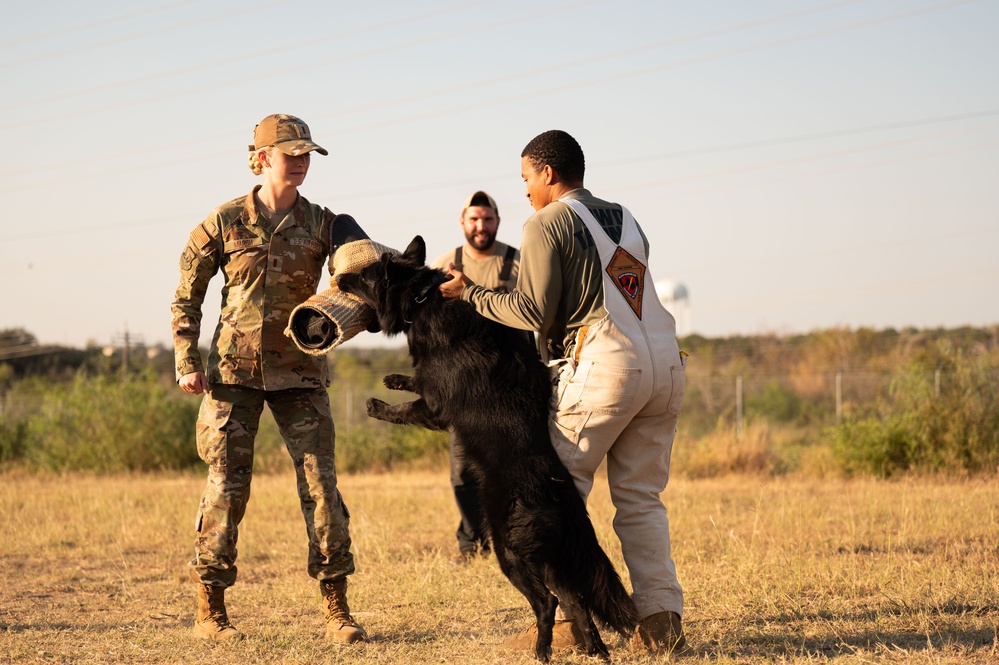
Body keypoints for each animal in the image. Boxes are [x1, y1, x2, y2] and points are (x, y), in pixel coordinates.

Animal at [340, 236, 640, 660]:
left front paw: (376, 405)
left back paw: (542, 651)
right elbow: (415, 379)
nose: (339, 278)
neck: (422, 297)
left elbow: (405, 409)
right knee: (578, 601)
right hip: (549, 561)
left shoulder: (436, 410)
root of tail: (562, 497)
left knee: (548, 602)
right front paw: (396, 377)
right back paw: (595, 649)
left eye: (364, 276)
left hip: (509, 550)